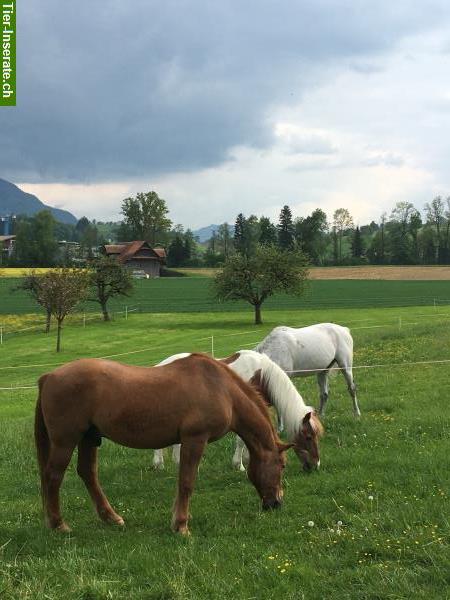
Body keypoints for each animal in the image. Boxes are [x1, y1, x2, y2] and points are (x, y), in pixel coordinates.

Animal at [33, 352, 290, 536]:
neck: (221, 388)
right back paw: (59, 524)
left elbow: (183, 481)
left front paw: (178, 519)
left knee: (88, 473)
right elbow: (187, 482)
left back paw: (111, 518)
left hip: (89, 438)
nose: (276, 503)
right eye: (282, 466)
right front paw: (181, 525)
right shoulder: (195, 439)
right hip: (65, 442)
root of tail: (49, 377)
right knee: (53, 476)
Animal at [154, 352, 324, 474]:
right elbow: (241, 441)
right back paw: (159, 464)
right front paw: (239, 465)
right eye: (308, 437)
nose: (316, 465)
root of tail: (160, 365)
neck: (261, 375)